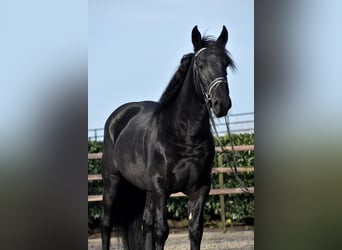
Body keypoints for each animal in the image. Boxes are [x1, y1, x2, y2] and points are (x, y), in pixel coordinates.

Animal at [101, 25, 235, 250]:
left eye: (225, 64)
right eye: (200, 64)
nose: (221, 103)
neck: (184, 135)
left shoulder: (200, 188)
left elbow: (195, 230)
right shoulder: (160, 187)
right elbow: (161, 231)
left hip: (146, 190)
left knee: (145, 224)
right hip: (112, 181)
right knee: (106, 224)